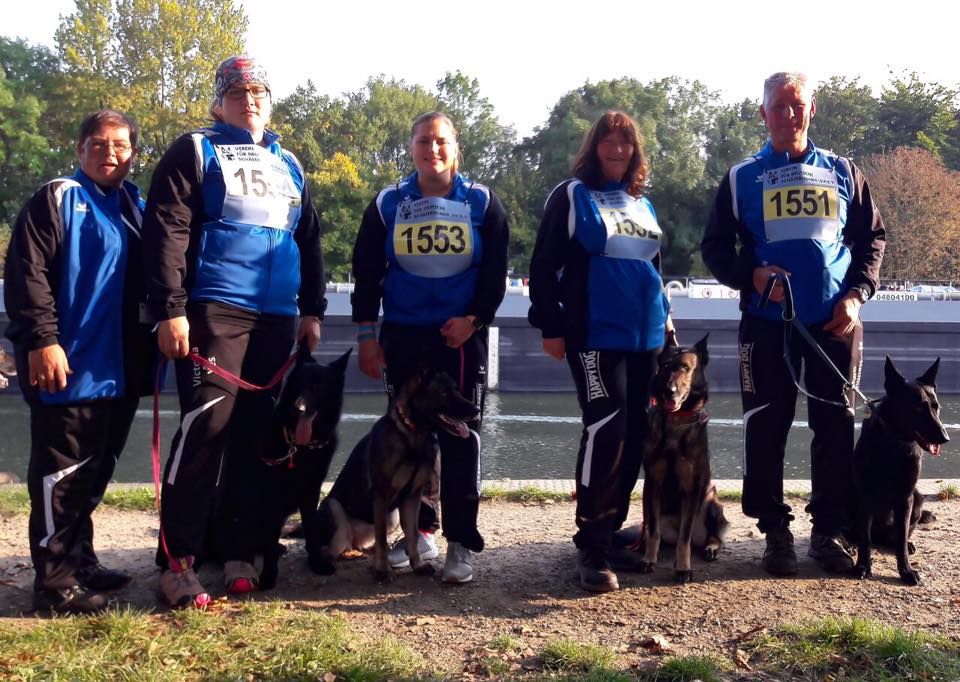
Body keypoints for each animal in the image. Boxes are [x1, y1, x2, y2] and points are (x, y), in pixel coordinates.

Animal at [249, 342, 350, 588]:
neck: (300, 447)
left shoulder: (311, 490)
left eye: (318, 387)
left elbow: (311, 530)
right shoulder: (273, 495)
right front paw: (268, 575)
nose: (299, 409)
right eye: (300, 384)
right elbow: (271, 536)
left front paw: (317, 564)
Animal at [310, 364, 478, 580]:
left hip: (393, 516)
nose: (476, 410)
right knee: (327, 549)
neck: (413, 433)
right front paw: (383, 570)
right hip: (334, 508)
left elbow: (412, 534)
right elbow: (382, 537)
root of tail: (353, 538)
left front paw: (418, 565)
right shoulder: (381, 495)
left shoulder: (412, 497)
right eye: (444, 392)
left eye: (456, 390)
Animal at [632, 334, 732, 580]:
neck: (676, 421)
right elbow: (653, 532)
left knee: (713, 536)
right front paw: (649, 559)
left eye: (686, 367)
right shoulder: (653, 484)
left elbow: (684, 540)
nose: (670, 390)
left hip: (711, 501)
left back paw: (710, 548)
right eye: (666, 366)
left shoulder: (691, 487)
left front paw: (683, 568)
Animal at [852, 356, 948, 584]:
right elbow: (865, 538)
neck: (893, 444)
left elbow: (902, 539)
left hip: (918, 499)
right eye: (918, 408)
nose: (945, 437)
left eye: (936, 407)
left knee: (896, 538)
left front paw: (906, 571)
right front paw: (863, 565)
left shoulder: (905, 499)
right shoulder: (864, 495)